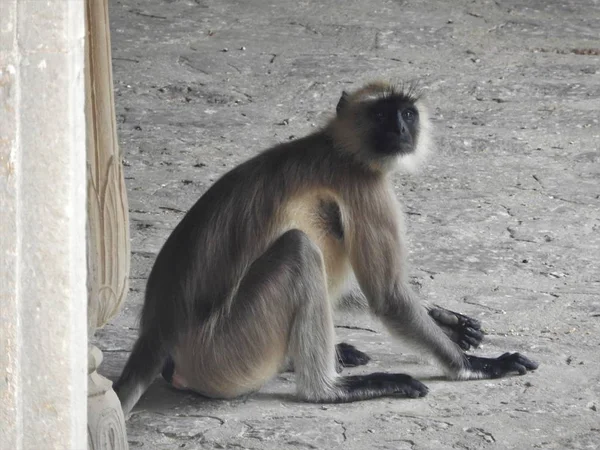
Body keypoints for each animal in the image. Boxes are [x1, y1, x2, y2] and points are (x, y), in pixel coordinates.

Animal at [115, 80, 536, 414]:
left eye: (407, 113)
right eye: (381, 114)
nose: (401, 128)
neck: (337, 147)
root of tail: (159, 333)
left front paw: (447, 320)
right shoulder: (365, 186)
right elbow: (388, 298)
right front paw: (478, 364)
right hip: (225, 352)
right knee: (301, 248)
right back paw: (327, 388)